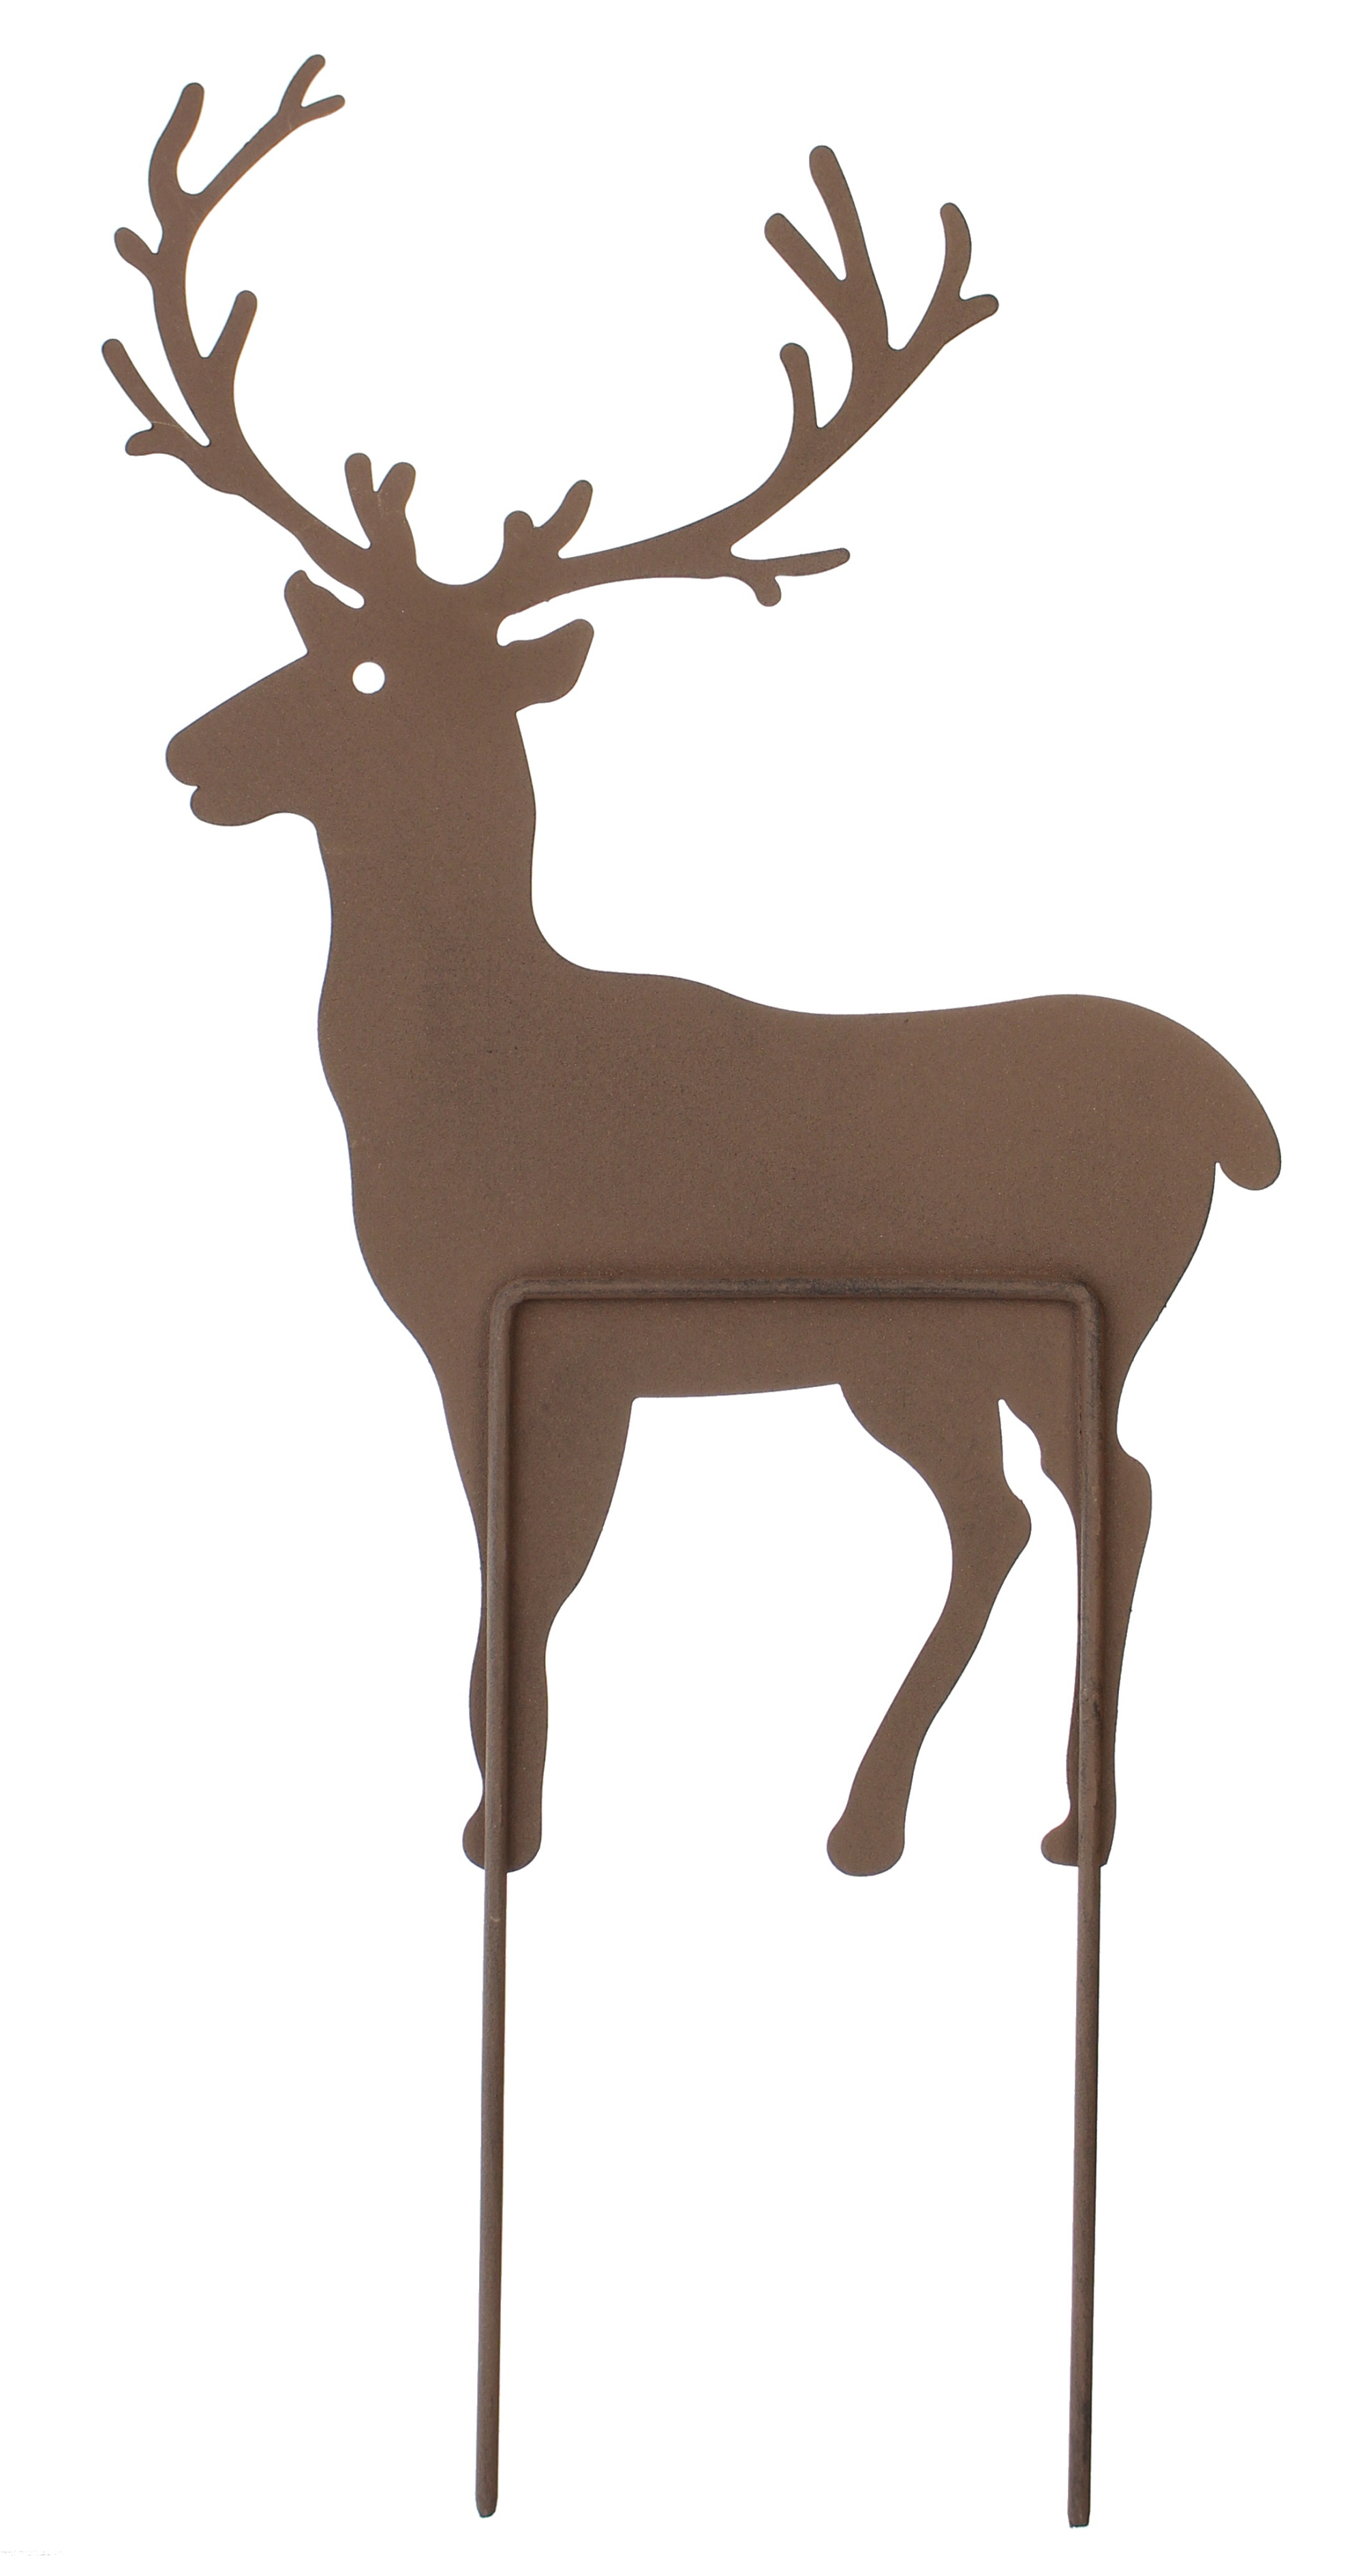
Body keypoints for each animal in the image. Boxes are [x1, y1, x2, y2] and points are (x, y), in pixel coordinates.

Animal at [106, 58, 1279, 2525]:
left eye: (370, 668)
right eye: (312, 640)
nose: (186, 755)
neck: (461, 1069)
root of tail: (1243, 1116)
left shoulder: (525, 1334)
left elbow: (517, 1581)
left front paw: (498, 1817)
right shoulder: (597, 1348)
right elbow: (534, 1586)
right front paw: (515, 1821)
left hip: (1054, 1315)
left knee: (1119, 1489)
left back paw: (1061, 1814)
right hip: (906, 1364)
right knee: (1014, 1514)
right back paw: (878, 1814)